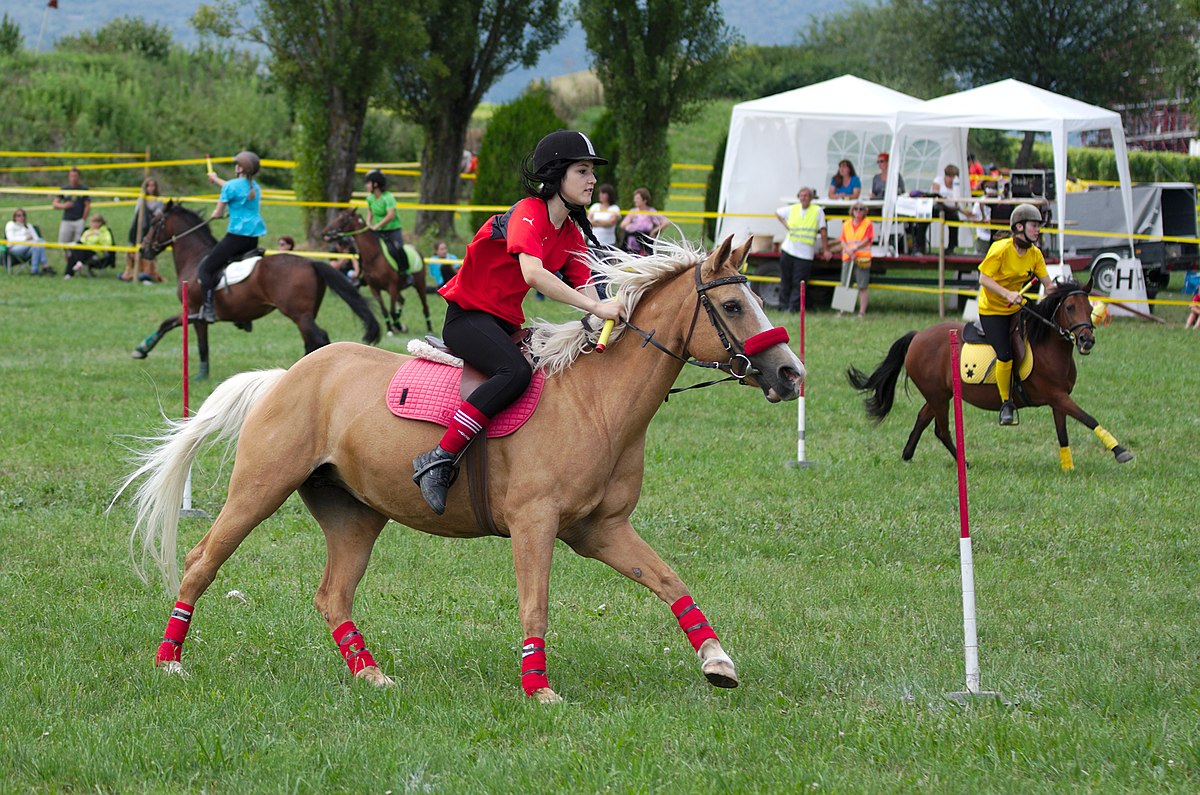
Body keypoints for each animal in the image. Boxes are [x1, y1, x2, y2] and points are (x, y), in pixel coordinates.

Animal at [114, 236, 806, 706]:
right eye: (733, 305)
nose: (790, 373)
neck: (596, 403)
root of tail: (288, 375)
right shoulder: (535, 526)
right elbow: (535, 607)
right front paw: (539, 691)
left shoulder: (601, 530)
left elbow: (669, 582)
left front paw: (717, 662)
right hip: (259, 489)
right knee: (202, 559)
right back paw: (169, 661)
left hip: (354, 514)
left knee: (332, 593)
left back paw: (371, 674)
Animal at [130, 204, 379, 381]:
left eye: (155, 222)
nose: (144, 249)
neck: (194, 257)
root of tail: (310, 262)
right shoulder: (193, 314)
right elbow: (178, 331)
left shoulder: (194, 312)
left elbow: (188, 337)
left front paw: (143, 350)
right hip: (305, 316)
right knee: (311, 341)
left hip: (299, 315)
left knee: (319, 338)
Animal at [321, 208, 434, 336]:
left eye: (342, 218)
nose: (324, 233)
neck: (374, 257)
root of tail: (416, 250)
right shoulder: (375, 288)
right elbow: (384, 310)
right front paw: (391, 329)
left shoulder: (392, 286)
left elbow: (391, 310)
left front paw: (397, 326)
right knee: (402, 300)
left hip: (419, 284)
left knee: (425, 307)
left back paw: (429, 330)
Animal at [844, 279, 1132, 470]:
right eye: (1070, 308)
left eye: (1089, 308)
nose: (1087, 340)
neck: (1048, 347)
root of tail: (917, 336)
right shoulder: (1056, 395)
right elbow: (1088, 418)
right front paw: (1120, 451)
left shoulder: (1058, 400)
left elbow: (1063, 432)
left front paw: (1067, 466)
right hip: (939, 396)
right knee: (941, 429)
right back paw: (963, 463)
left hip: (940, 394)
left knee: (923, 419)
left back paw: (908, 454)